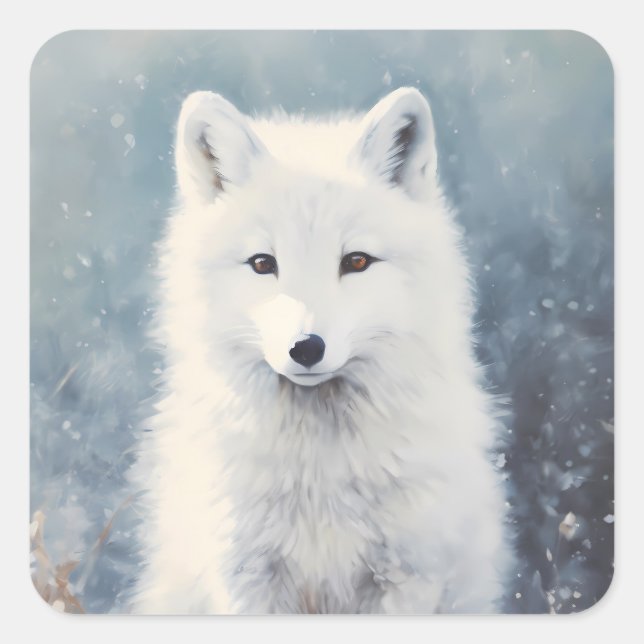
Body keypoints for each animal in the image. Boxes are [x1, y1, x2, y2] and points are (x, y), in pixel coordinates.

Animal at [131, 87, 513, 614]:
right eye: (262, 263)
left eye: (357, 262)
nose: (306, 348)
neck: (319, 476)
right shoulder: (247, 578)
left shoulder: (408, 575)